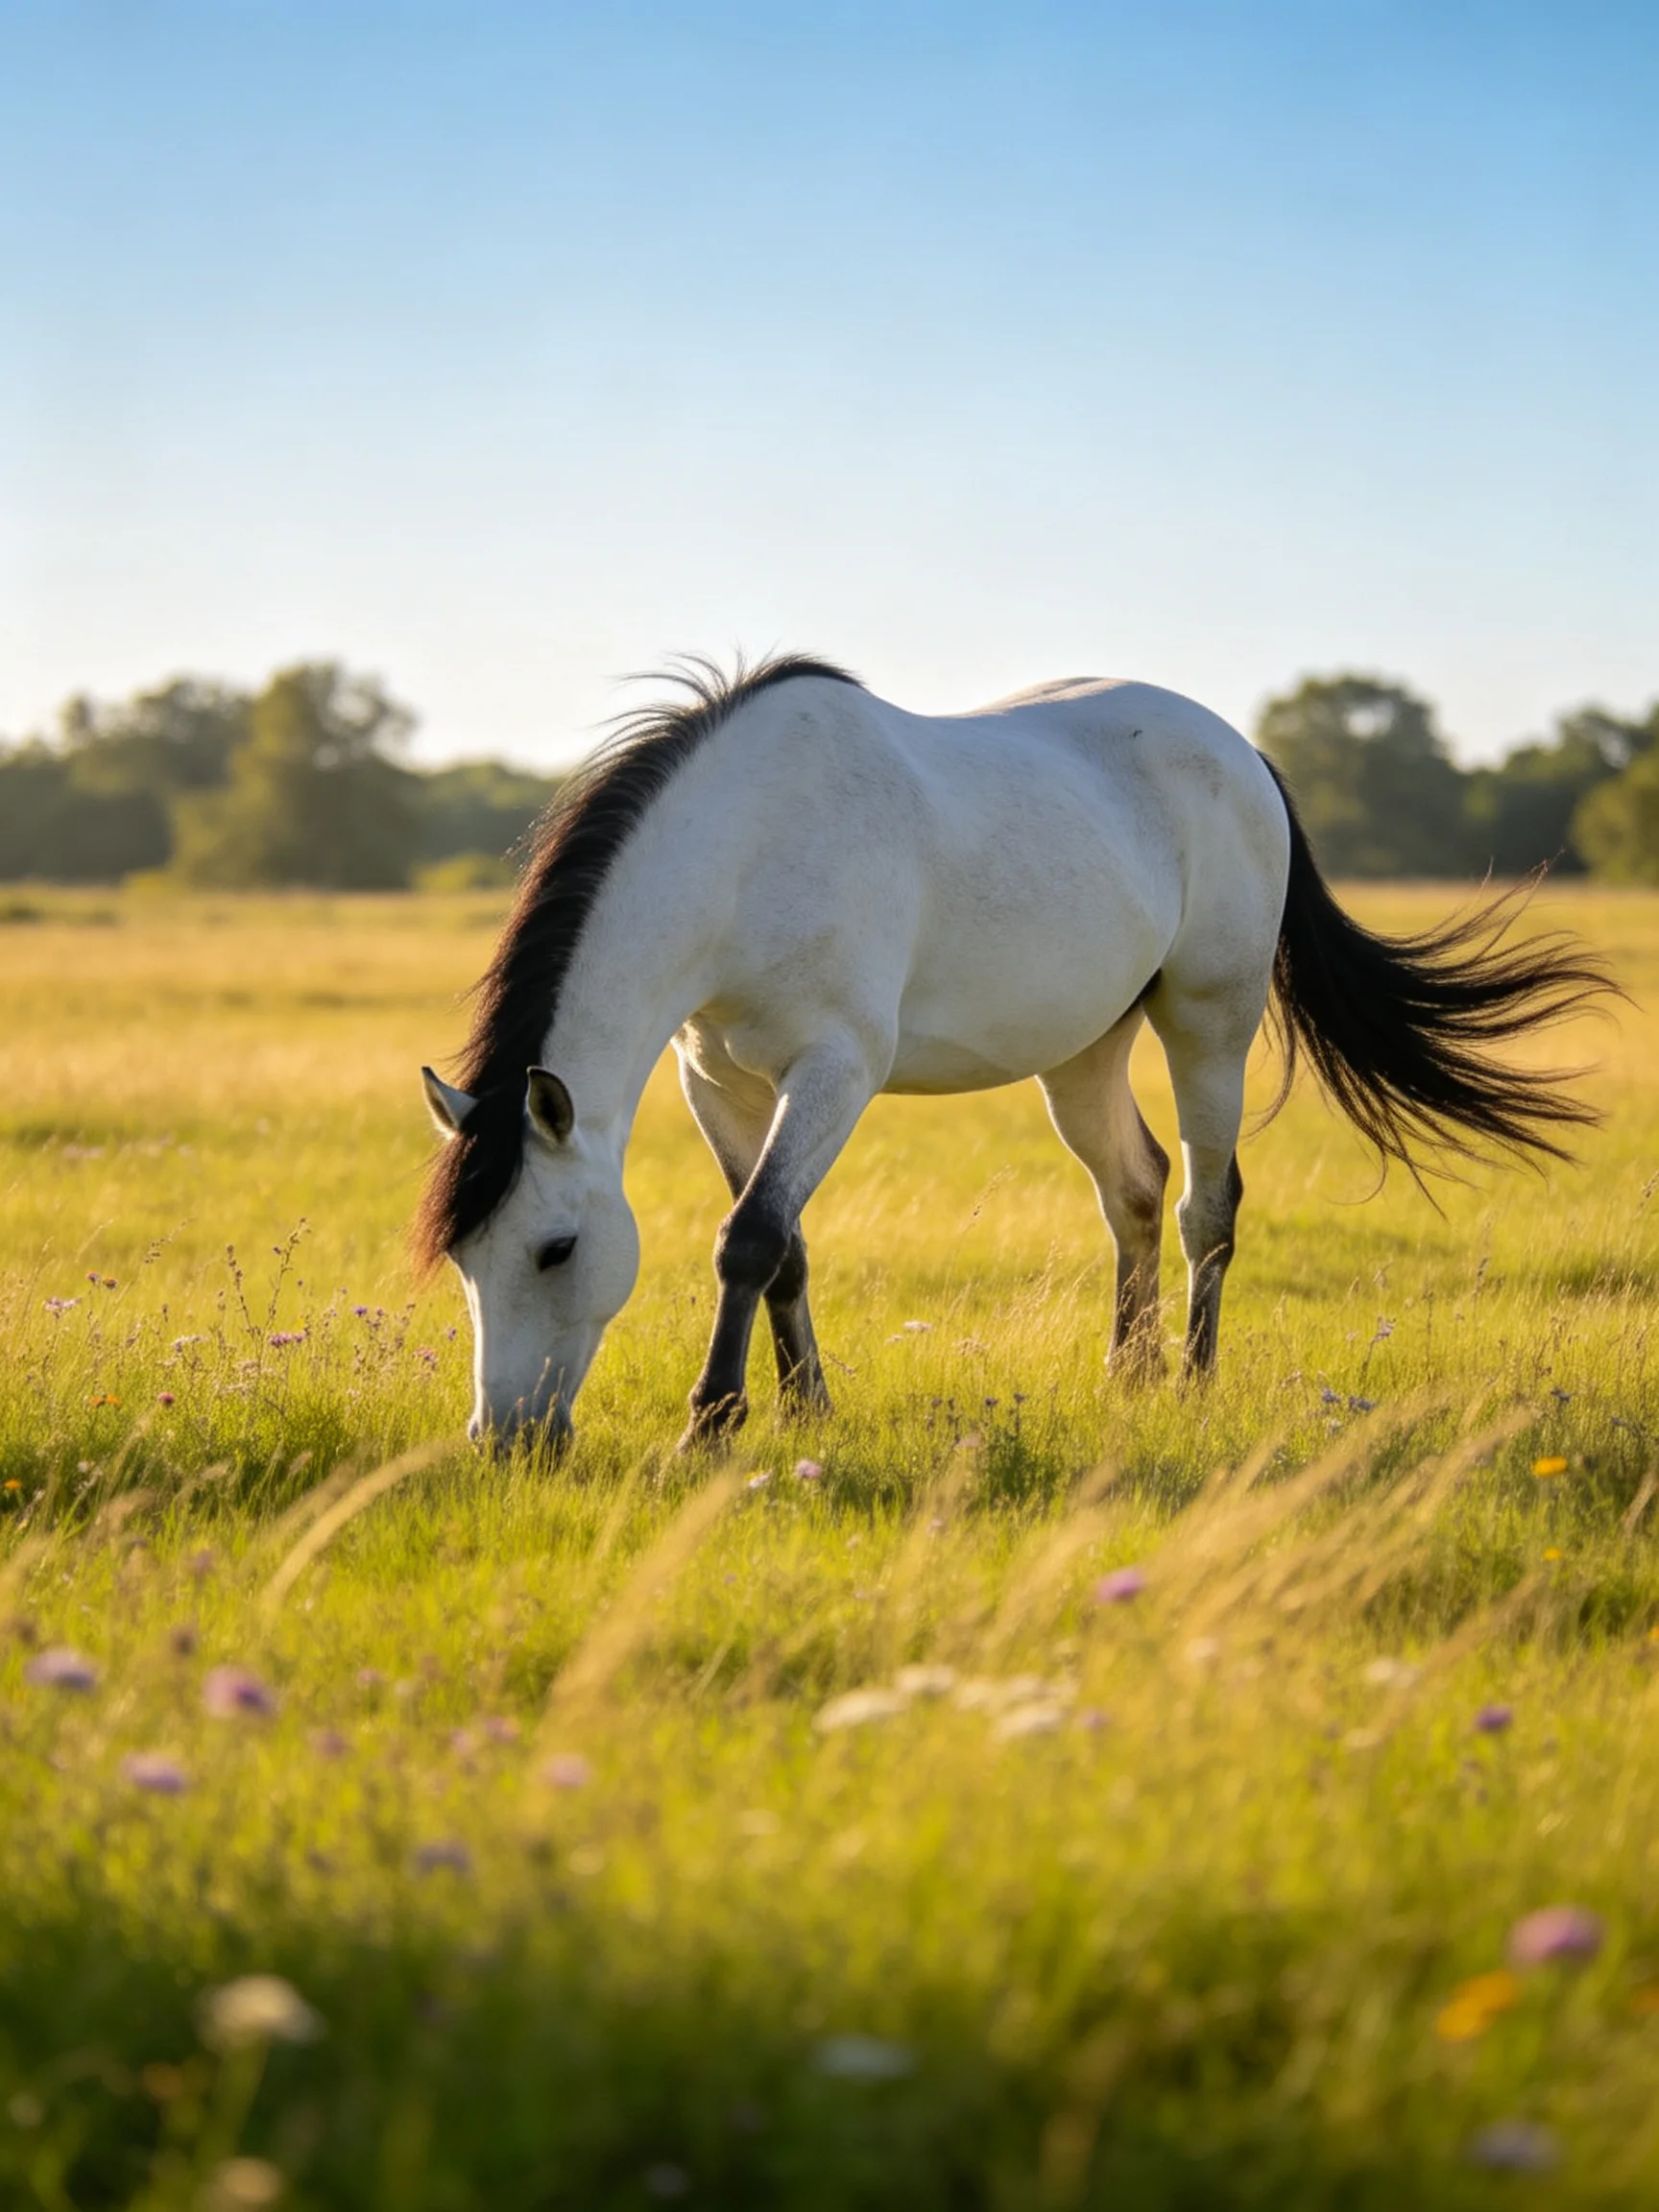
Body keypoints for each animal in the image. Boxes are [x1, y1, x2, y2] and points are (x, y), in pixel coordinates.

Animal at [414, 654, 1609, 1452]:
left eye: (556, 1250)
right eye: (465, 1257)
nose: (506, 1441)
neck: (753, 847)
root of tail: (1242, 753)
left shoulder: (835, 1070)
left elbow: (749, 1238)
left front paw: (712, 1424)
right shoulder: (719, 1080)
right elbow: (785, 1245)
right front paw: (809, 1410)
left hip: (1208, 1023)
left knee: (1206, 1206)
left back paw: (1190, 1385)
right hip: (1084, 1051)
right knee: (1135, 1188)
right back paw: (1128, 1376)